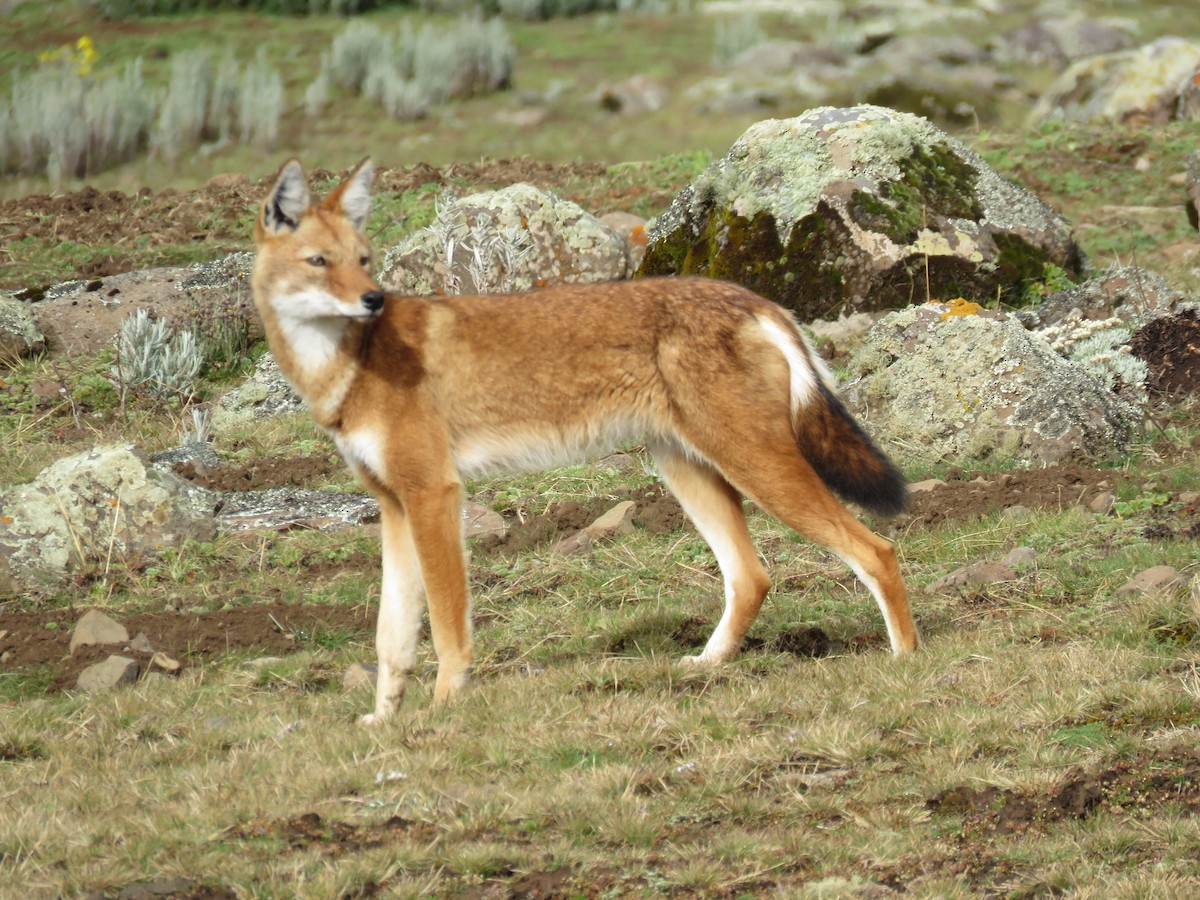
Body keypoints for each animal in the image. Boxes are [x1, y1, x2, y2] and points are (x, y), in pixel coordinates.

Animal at [251, 158, 918, 723]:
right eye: (321, 261)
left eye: (364, 260)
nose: (373, 300)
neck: (349, 364)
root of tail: (758, 301)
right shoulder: (394, 506)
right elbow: (391, 638)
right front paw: (384, 724)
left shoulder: (434, 495)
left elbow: (446, 627)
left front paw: (443, 710)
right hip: (689, 473)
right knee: (752, 577)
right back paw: (704, 667)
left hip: (759, 471)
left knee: (877, 550)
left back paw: (906, 659)